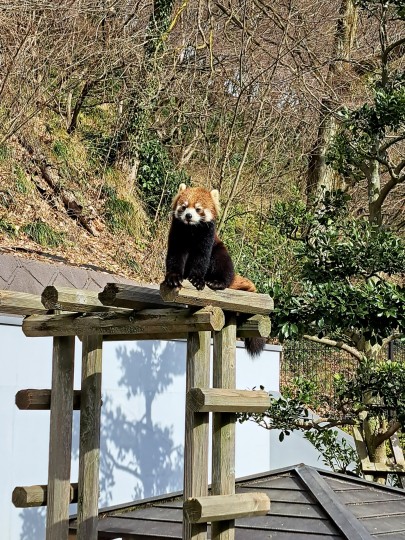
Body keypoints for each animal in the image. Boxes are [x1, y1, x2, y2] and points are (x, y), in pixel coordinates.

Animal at [163, 184, 266, 356]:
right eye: (184, 206)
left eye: (198, 209)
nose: (188, 216)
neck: (191, 231)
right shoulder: (177, 234)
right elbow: (175, 257)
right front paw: (173, 277)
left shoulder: (207, 237)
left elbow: (201, 259)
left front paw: (197, 279)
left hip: (220, 251)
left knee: (222, 264)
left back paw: (218, 282)